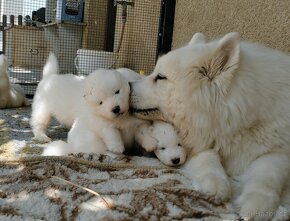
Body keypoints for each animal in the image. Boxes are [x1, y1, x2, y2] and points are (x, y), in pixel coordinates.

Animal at [130, 32, 290, 220]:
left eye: (160, 77)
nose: (128, 84)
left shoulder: (280, 152)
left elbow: (267, 174)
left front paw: (256, 206)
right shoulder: (195, 142)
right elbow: (207, 158)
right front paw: (215, 184)